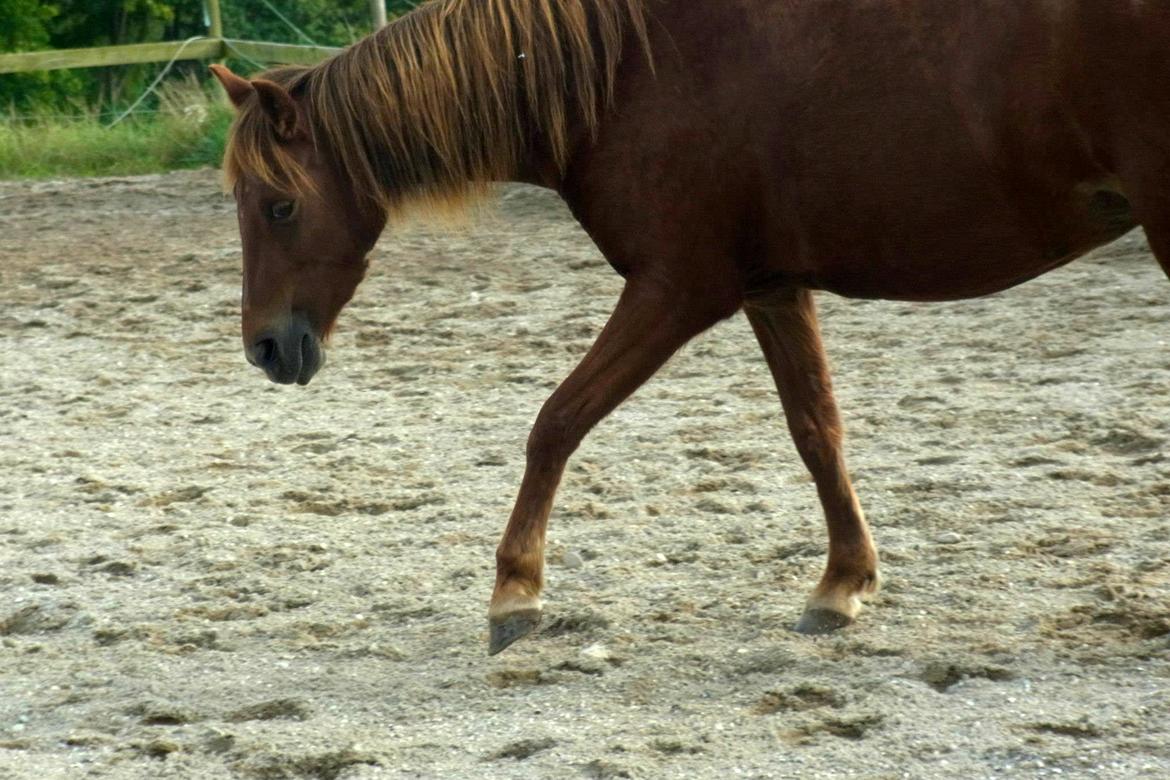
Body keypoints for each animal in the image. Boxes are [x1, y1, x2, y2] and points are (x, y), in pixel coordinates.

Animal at [210, 0, 1164, 655]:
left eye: (279, 204)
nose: (265, 346)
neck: (627, 71)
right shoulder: (770, 289)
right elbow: (816, 431)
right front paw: (841, 584)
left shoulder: (677, 290)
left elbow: (555, 422)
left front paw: (516, 594)